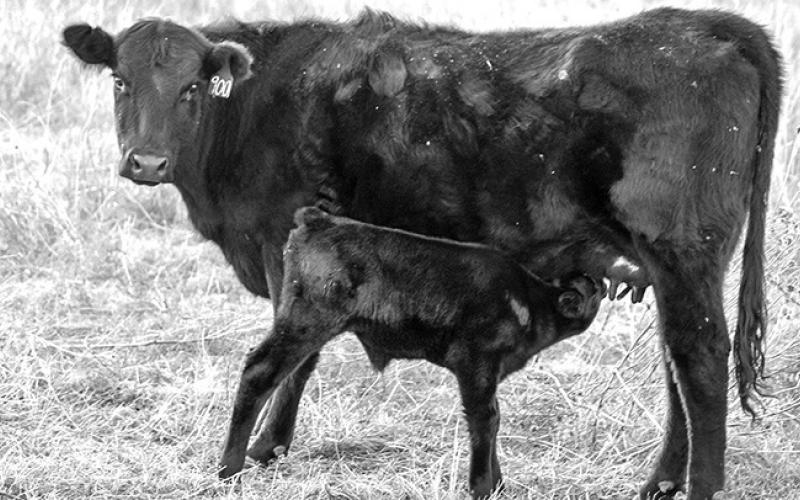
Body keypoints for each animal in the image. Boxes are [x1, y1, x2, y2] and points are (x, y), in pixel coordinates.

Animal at [219, 206, 603, 497]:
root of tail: (319, 220)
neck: (529, 300)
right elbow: (486, 419)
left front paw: (497, 484)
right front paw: (484, 486)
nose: (599, 281)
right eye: (588, 291)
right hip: (305, 325)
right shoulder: (476, 365)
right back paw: (229, 471)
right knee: (260, 373)